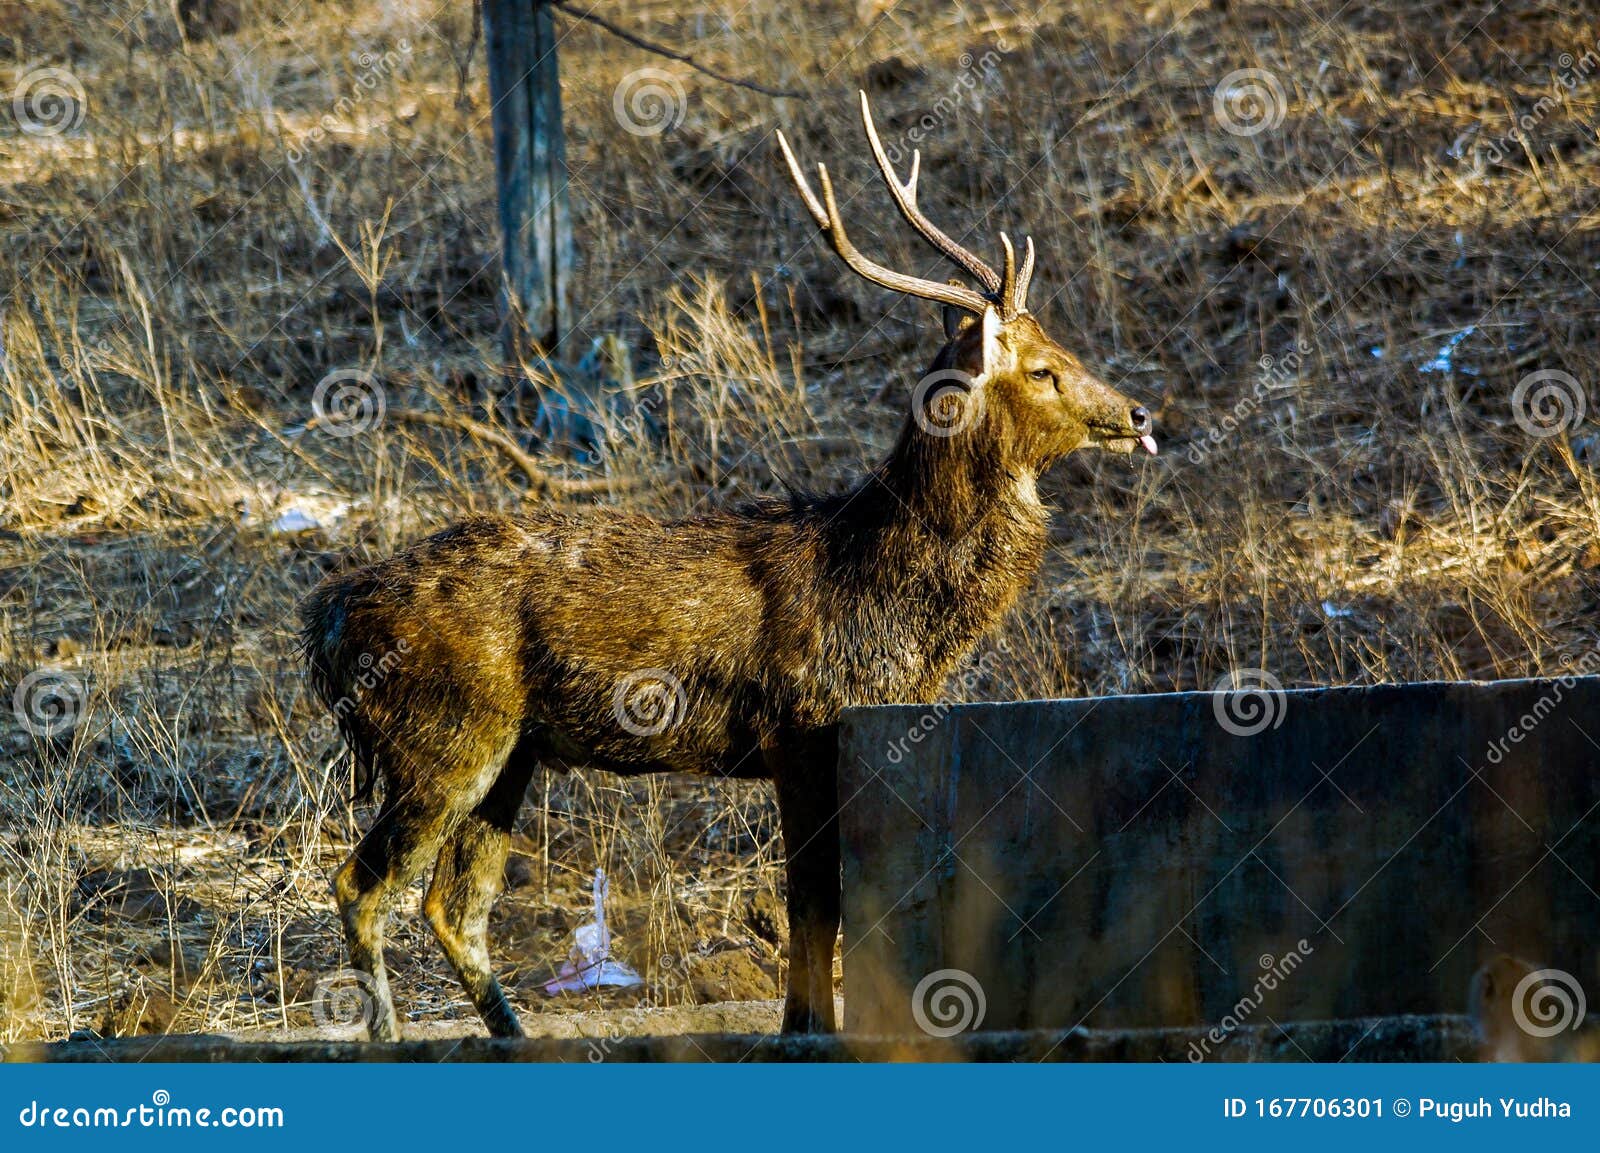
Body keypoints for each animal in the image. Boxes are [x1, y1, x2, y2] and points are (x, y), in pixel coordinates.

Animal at [297, 94, 1152, 1036]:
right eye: (1042, 369)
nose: (1139, 412)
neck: (884, 597)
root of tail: (328, 616)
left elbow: (817, 901)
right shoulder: (803, 722)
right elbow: (814, 900)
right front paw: (806, 1029)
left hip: (508, 750)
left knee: (455, 905)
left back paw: (514, 1036)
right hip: (444, 735)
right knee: (362, 885)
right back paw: (390, 1031)